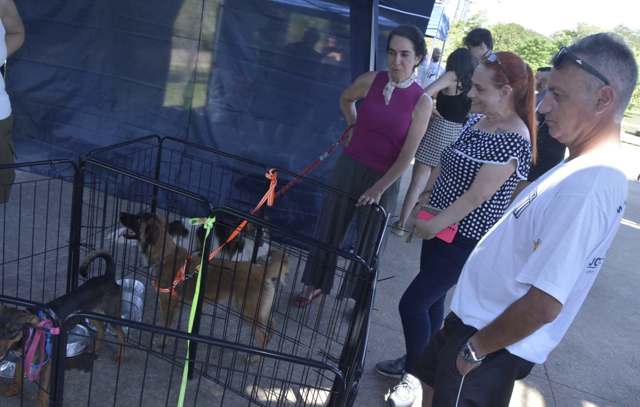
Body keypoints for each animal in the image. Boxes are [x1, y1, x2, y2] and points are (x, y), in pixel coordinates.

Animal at [120, 212, 290, 350]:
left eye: (138, 218)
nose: (121, 214)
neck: (166, 254)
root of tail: (261, 270)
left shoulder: (167, 303)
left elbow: (166, 326)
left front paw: (162, 343)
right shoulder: (176, 304)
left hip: (248, 311)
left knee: (263, 336)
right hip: (258, 311)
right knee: (271, 327)